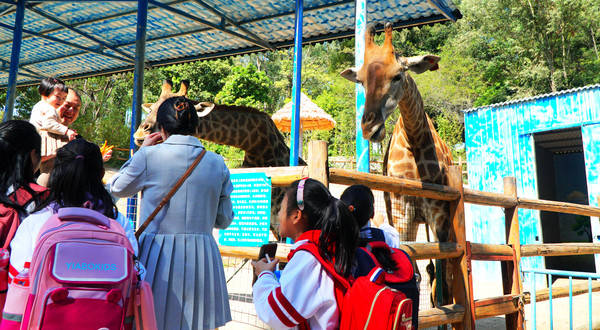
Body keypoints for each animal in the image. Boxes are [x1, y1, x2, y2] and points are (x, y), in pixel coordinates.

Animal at [340, 22, 452, 304]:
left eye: (398, 76)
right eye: (360, 80)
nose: (369, 128)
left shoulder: (440, 217)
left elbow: (445, 279)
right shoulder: (403, 215)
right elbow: (414, 270)